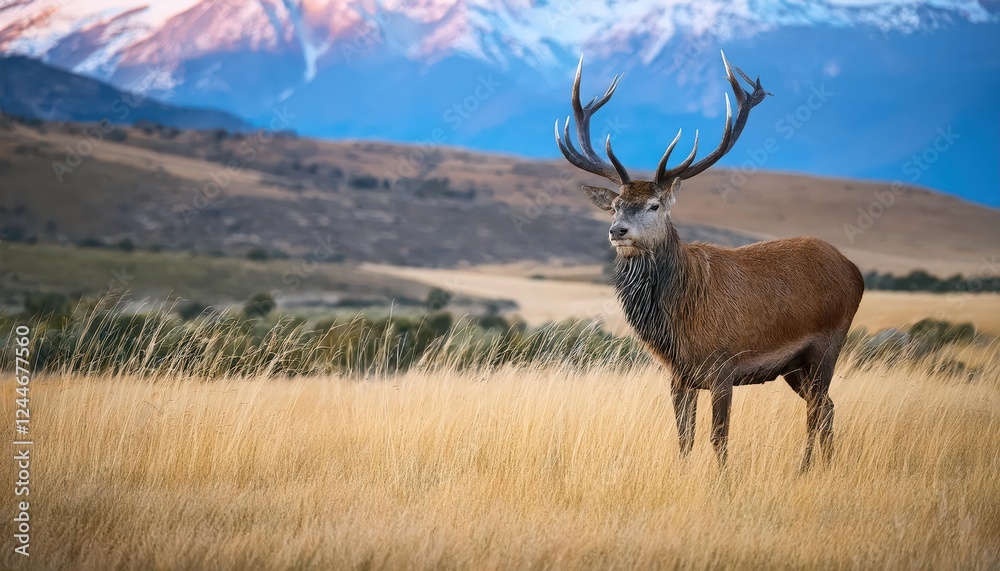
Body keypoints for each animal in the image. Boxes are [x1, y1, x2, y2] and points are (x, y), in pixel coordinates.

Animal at [555, 52, 864, 470]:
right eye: (616, 205)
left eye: (654, 205)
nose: (617, 231)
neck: (680, 324)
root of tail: (854, 271)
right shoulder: (678, 376)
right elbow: (684, 439)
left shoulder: (724, 368)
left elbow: (719, 440)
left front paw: (724, 481)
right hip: (795, 367)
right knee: (827, 408)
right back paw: (820, 466)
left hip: (826, 346)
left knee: (817, 410)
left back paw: (807, 468)